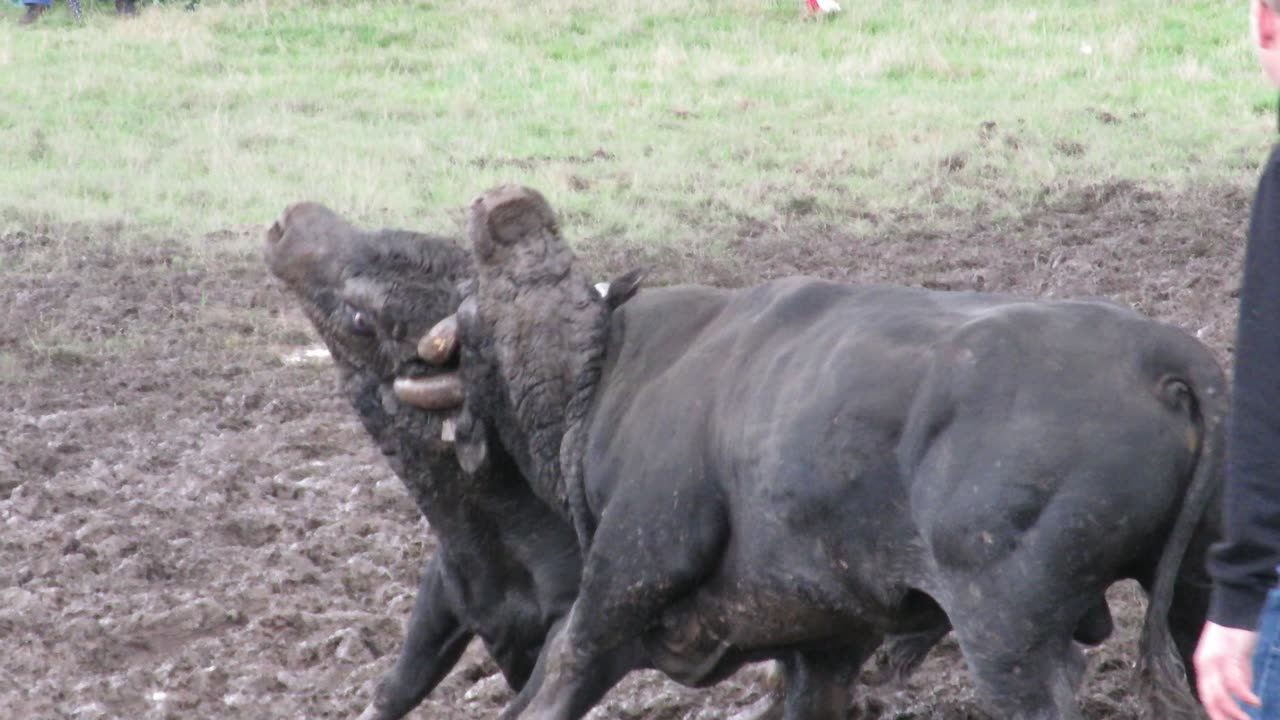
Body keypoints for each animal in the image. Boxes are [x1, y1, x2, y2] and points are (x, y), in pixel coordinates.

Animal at [424, 185, 1233, 717]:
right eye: (488, 304)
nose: (511, 205)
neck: (611, 377)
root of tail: (1163, 353)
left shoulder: (628, 576)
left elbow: (562, 669)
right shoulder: (826, 641)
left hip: (1007, 627)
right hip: (1198, 596)